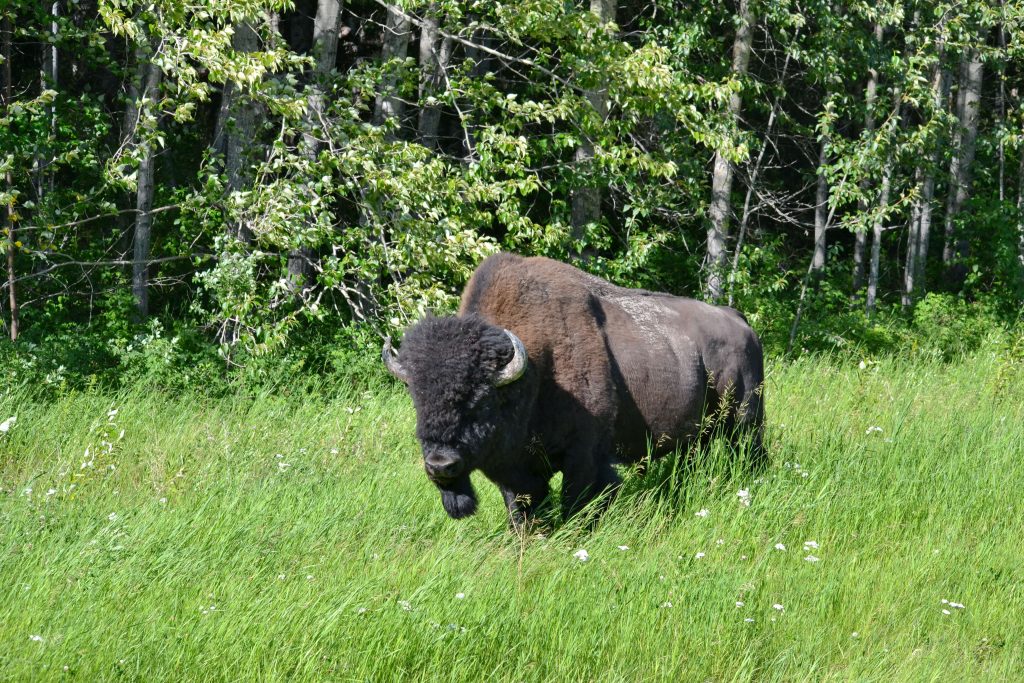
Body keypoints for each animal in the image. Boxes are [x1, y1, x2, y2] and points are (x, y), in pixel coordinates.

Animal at [380, 253, 765, 528]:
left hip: (747, 419)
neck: (534, 374)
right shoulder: (511, 469)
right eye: (417, 397)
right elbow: (521, 511)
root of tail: (739, 321)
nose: (440, 465)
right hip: (697, 435)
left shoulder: (584, 456)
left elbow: (577, 503)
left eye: (482, 398)